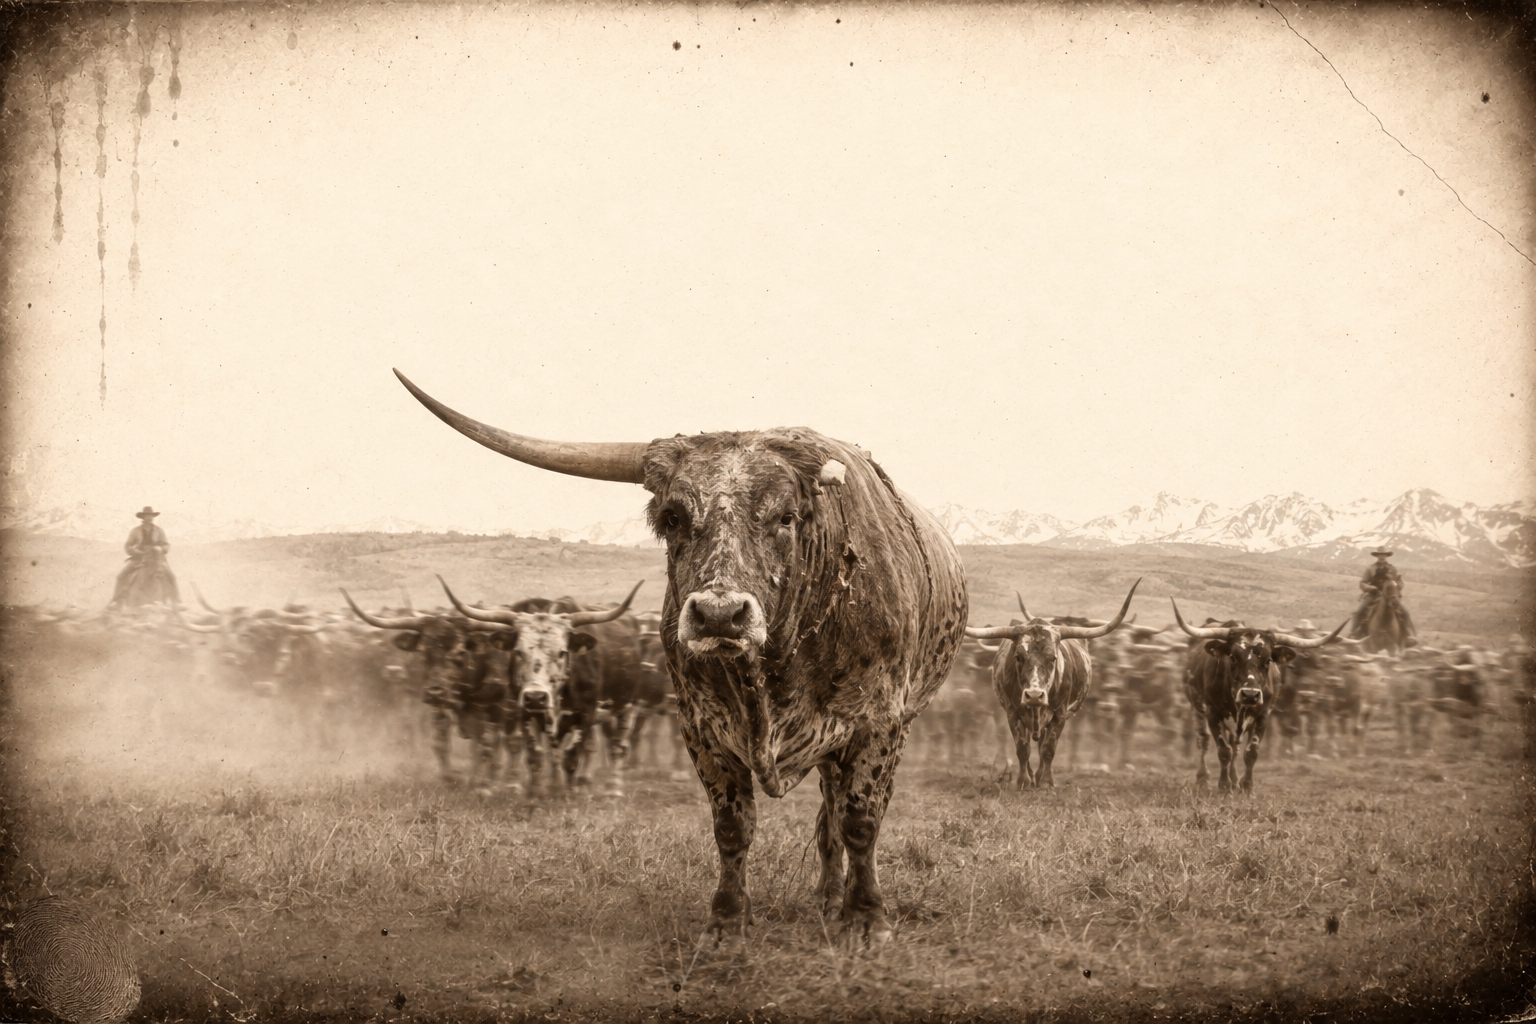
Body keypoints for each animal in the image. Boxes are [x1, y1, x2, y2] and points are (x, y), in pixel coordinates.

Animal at [393, 370, 968, 947]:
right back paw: (826, 897)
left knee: (835, 812)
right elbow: (733, 827)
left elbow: (860, 821)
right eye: (672, 517)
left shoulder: (881, 724)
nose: (719, 616)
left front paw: (868, 919)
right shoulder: (701, 729)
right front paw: (727, 921)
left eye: (786, 516)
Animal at [963, 583, 1139, 789]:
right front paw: (1024, 781)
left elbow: (1048, 749)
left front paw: (1046, 782)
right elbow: (1022, 749)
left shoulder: (1059, 714)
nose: (1034, 695)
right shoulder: (1012, 713)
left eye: (1053, 658)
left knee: (1042, 745)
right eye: (1018, 656)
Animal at [1173, 602, 1346, 793]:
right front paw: (1224, 786)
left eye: (1268, 660)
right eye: (1232, 657)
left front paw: (1246, 786)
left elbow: (1251, 752)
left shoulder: (1263, 714)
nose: (1250, 694)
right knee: (1203, 741)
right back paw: (1203, 778)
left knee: (1235, 745)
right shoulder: (1213, 713)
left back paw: (1234, 779)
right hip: (1197, 709)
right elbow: (1223, 751)